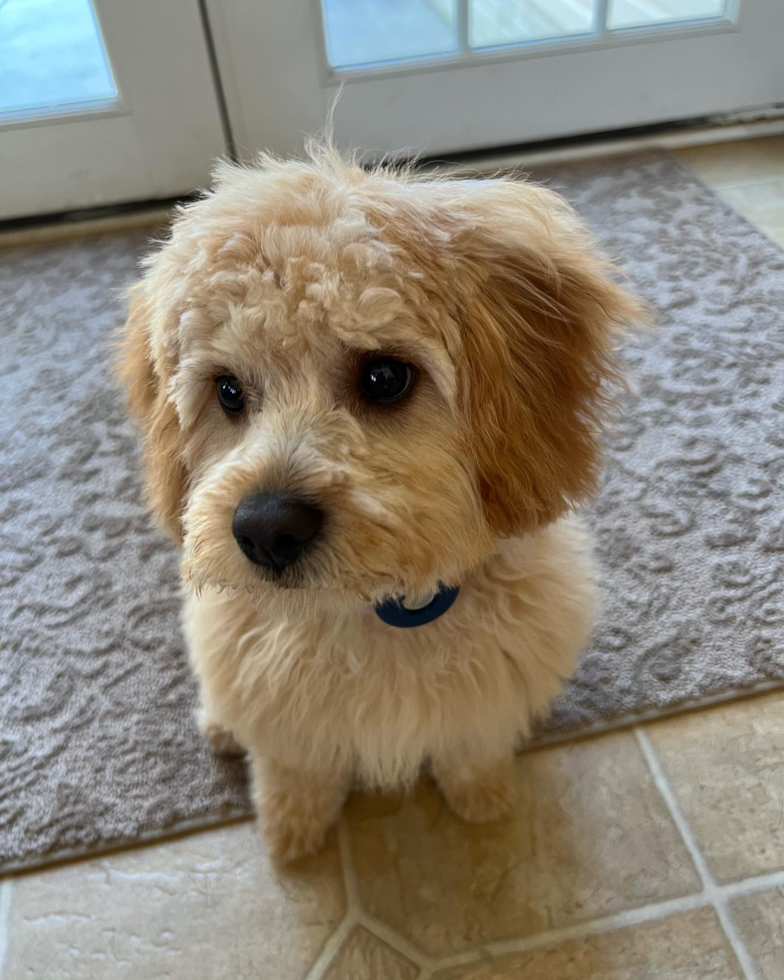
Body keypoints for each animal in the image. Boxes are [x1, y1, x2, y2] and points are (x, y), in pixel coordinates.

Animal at [119, 144, 640, 856]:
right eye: (227, 391)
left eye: (385, 376)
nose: (266, 530)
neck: (379, 608)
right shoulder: (276, 700)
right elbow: (292, 768)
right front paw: (291, 830)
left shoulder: (490, 688)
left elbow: (472, 746)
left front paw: (482, 797)